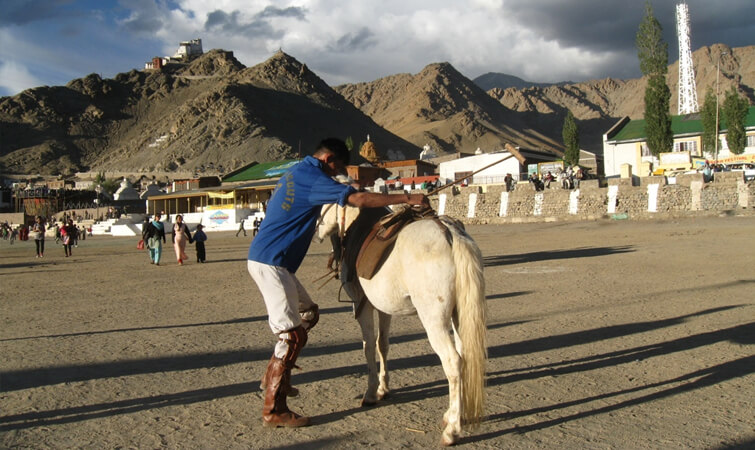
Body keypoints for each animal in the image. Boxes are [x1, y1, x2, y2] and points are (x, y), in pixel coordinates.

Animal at [316, 205, 488, 446]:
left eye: (322, 207)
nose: (317, 231)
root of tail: (450, 234)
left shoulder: (362, 305)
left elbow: (368, 346)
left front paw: (371, 393)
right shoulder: (384, 308)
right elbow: (383, 345)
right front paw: (383, 388)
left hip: (434, 320)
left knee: (453, 362)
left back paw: (452, 430)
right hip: (460, 314)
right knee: (465, 356)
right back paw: (455, 414)